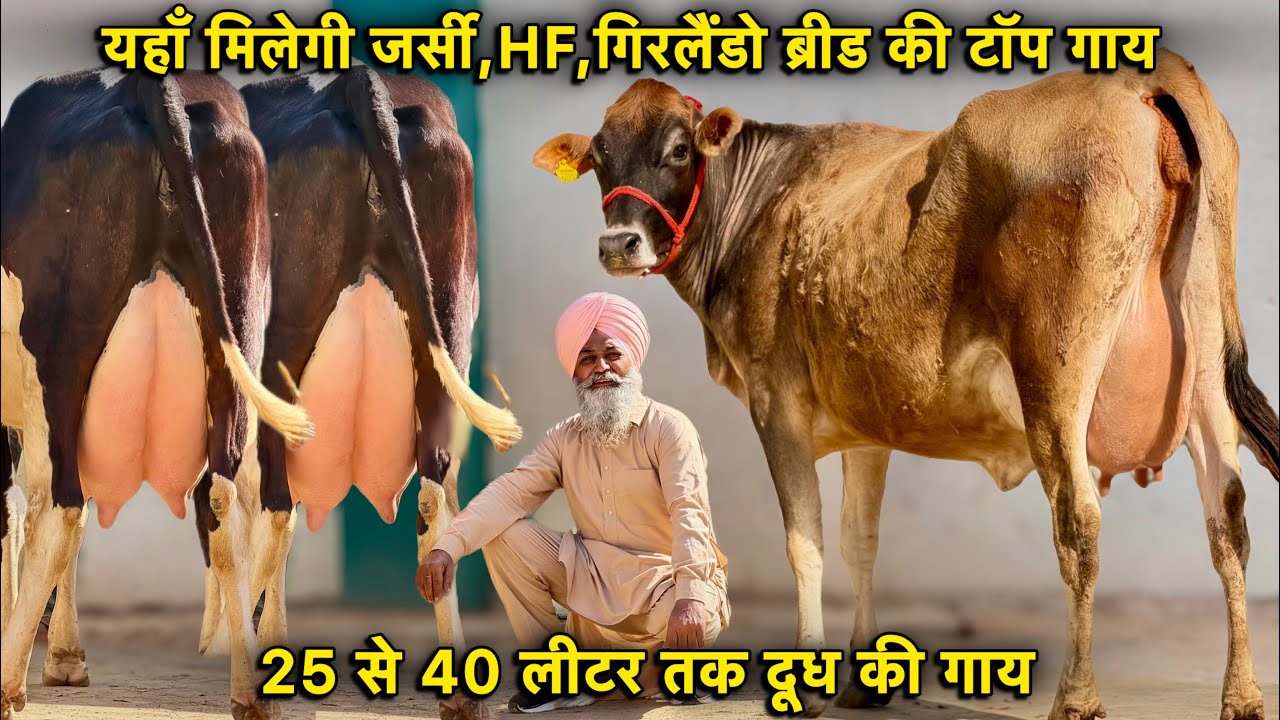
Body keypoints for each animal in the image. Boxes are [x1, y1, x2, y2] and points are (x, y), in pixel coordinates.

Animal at [1, 68, 313, 720]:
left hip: (57, 358)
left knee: (59, 503)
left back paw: (8, 683)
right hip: (239, 336)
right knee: (231, 499)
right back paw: (251, 692)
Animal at [213, 67, 521, 720]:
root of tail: (359, 82)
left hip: (281, 337)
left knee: (274, 500)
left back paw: (255, 686)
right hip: (449, 320)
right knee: (436, 496)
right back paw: (461, 697)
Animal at [533, 49, 1279, 719]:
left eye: (679, 149)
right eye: (599, 156)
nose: (618, 244)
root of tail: (1142, 78)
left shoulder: (776, 402)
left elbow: (805, 541)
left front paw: (805, 684)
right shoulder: (870, 421)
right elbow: (860, 538)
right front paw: (862, 684)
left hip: (1054, 372)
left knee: (1078, 521)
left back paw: (1075, 698)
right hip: (1205, 373)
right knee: (1228, 518)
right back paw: (1241, 696)